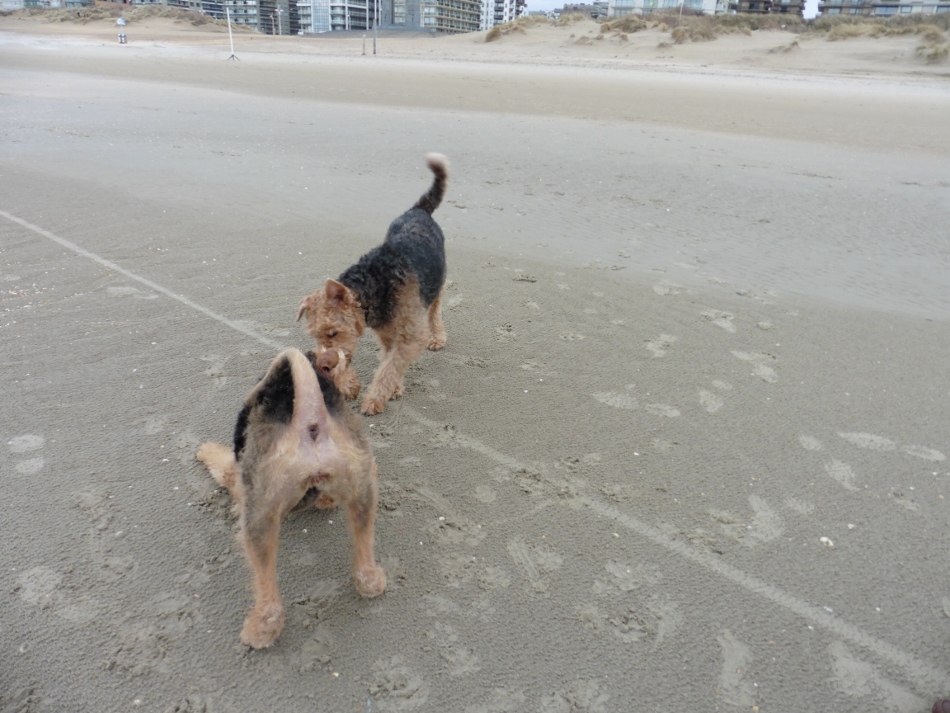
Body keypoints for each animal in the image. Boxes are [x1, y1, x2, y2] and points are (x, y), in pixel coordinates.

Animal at [196, 347, 386, 649]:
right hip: (362, 487)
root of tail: (310, 421)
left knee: (270, 596)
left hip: (259, 513)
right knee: (364, 557)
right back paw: (373, 581)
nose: (354, 387)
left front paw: (203, 450)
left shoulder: (237, 475)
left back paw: (259, 631)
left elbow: (220, 462)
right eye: (346, 366)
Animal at [297, 153, 449, 416]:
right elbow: (389, 362)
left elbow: (389, 368)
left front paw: (374, 400)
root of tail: (419, 209)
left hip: (436, 283)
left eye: (333, 332)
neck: (376, 282)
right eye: (315, 335)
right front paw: (392, 389)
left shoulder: (410, 336)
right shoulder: (387, 334)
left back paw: (438, 338)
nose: (324, 365)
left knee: (435, 311)